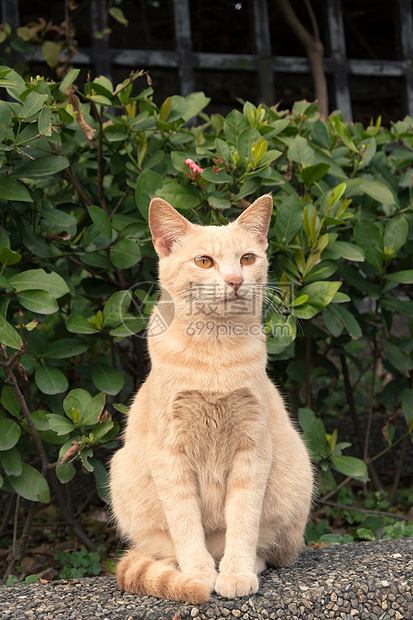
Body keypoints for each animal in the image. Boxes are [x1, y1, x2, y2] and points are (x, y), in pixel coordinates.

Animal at [109, 196, 312, 604]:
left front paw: (235, 573)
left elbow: (243, 520)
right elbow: (185, 523)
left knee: (268, 548)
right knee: (166, 550)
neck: (214, 353)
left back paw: (246, 565)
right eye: (204, 261)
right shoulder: (170, 456)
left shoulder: (252, 450)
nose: (235, 280)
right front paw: (198, 576)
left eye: (247, 258)